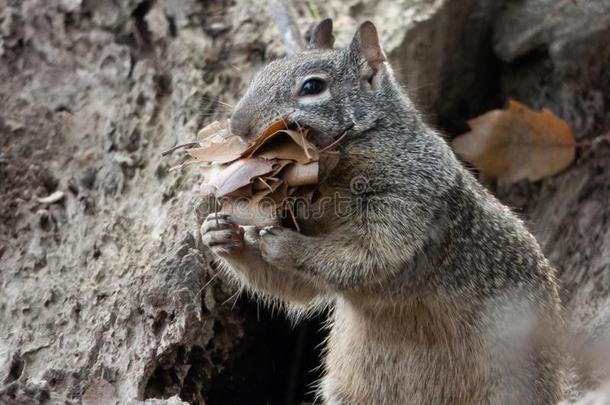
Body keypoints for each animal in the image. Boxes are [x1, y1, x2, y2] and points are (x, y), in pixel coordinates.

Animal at [201, 19, 564, 404]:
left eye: (312, 86)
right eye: (261, 72)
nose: (237, 125)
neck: (334, 178)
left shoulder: (408, 204)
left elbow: (368, 257)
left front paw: (286, 245)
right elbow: (299, 288)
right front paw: (221, 235)